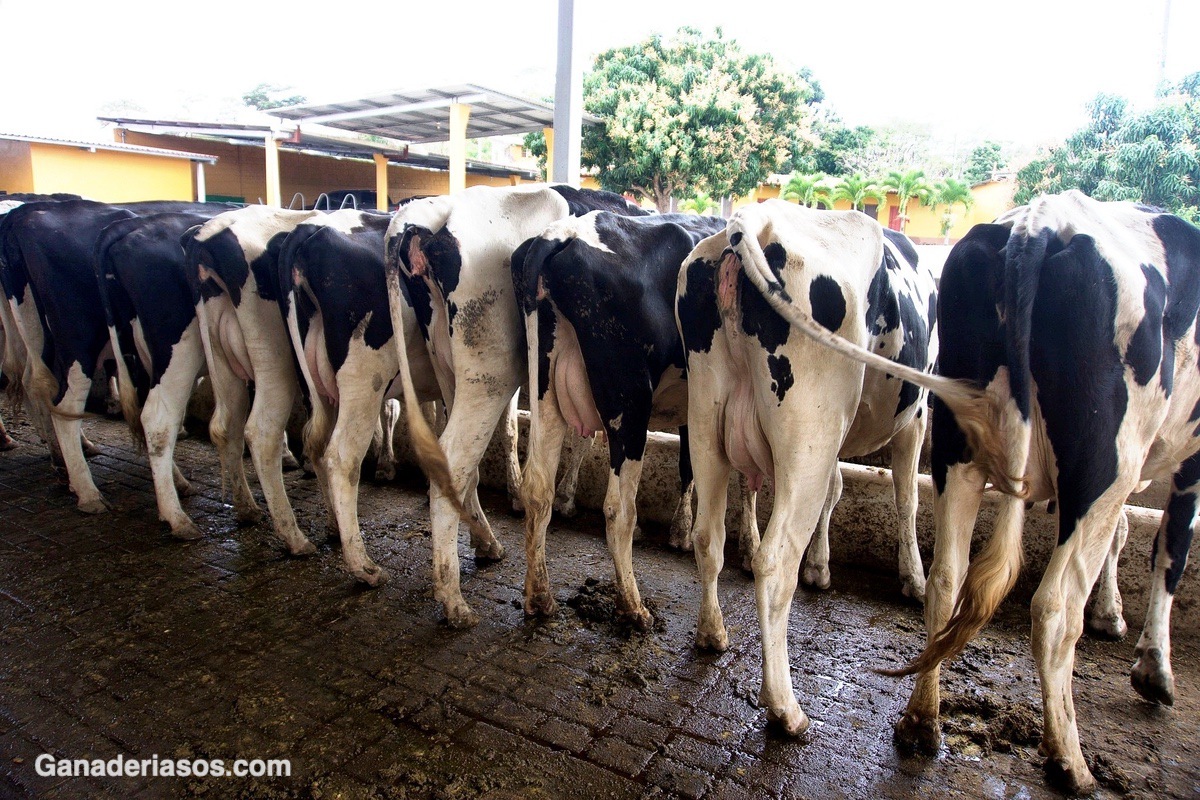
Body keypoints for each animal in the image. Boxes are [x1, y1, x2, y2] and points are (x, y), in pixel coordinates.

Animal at [381, 184, 648, 628]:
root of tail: (437, 214)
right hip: (490, 374)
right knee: (451, 459)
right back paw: (454, 601)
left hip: (450, 368)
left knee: (459, 465)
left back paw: (486, 543)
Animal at [513, 209, 724, 628]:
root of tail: (563, 233)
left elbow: (688, 463)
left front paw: (680, 529)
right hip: (631, 398)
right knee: (618, 509)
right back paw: (633, 606)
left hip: (545, 384)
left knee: (537, 489)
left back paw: (540, 598)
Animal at [883, 191, 1200, 796]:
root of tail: (1039, 224)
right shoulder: (1191, 460)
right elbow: (1170, 549)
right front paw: (1154, 669)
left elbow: (1129, 533)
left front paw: (1113, 616)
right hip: (1104, 462)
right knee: (1053, 607)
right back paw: (1069, 760)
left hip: (956, 444)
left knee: (946, 580)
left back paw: (921, 720)